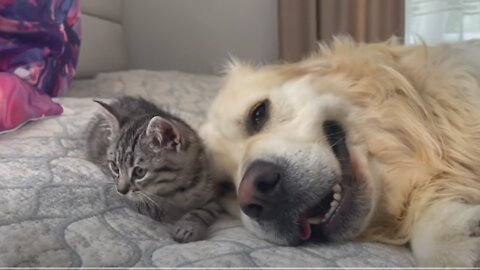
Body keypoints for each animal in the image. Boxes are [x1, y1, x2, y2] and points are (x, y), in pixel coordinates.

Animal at [86, 96, 221, 243]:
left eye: (139, 172)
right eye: (115, 167)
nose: (120, 191)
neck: (176, 191)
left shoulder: (212, 196)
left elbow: (203, 211)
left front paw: (188, 227)